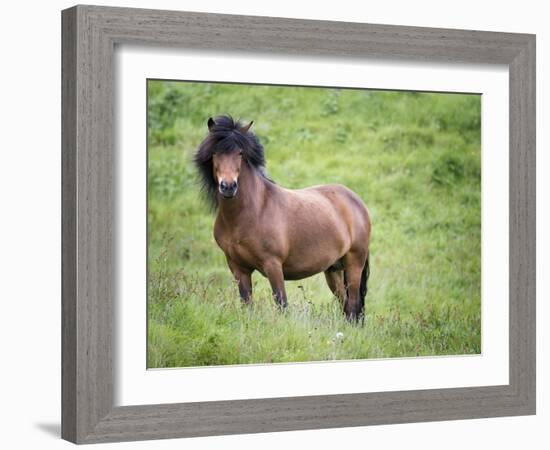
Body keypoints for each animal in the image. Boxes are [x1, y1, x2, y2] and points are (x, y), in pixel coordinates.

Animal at [196, 115, 374, 320]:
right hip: (333, 270)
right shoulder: (238, 268)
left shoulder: (273, 265)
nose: (228, 186)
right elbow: (247, 304)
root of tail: (357, 201)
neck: (251, 213)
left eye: (240, 153)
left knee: (352, 305)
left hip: (354, 264)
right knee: (344, 303)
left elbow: (282, 304)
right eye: (215, 152)